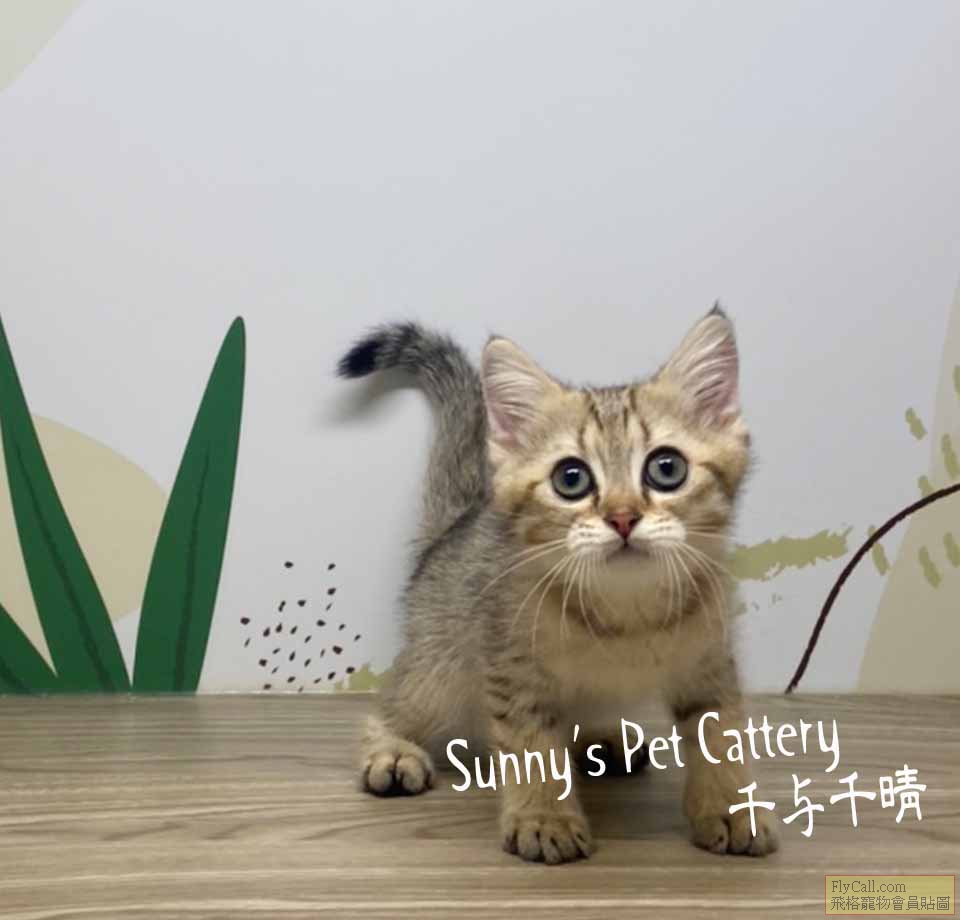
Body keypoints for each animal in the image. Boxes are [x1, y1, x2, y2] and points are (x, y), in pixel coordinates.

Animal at [336, 307, 779, 863]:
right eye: (571, 479)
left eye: (667, 468)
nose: (622, 518)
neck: (627, 609)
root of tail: (456, 524)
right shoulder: (512, 669)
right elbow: (532, 746)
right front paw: (545, 818)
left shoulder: (711, 662)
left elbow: (721, 734)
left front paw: (730, 807)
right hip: (440, 670)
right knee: (390, 708)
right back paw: (392, 751)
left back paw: (603, 739)